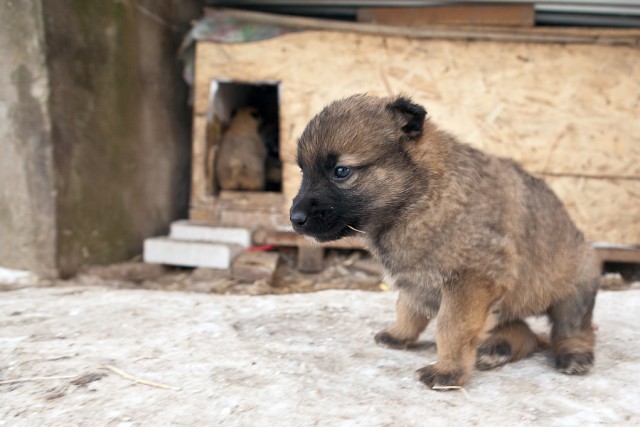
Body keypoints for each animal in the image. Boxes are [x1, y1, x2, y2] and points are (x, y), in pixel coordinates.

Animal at [290, 94, 600, 392]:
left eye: (341, 171)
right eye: (303, 171)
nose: (295, 218)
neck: (420, 196)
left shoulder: (471, 282)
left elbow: (452, 328)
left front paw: (448, 371)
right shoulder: (416, 281)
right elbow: (407, 308)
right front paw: (400, 334)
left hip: (577, 284)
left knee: (574, 328)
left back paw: (574, 354)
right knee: (525, 333)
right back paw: (497, 349)